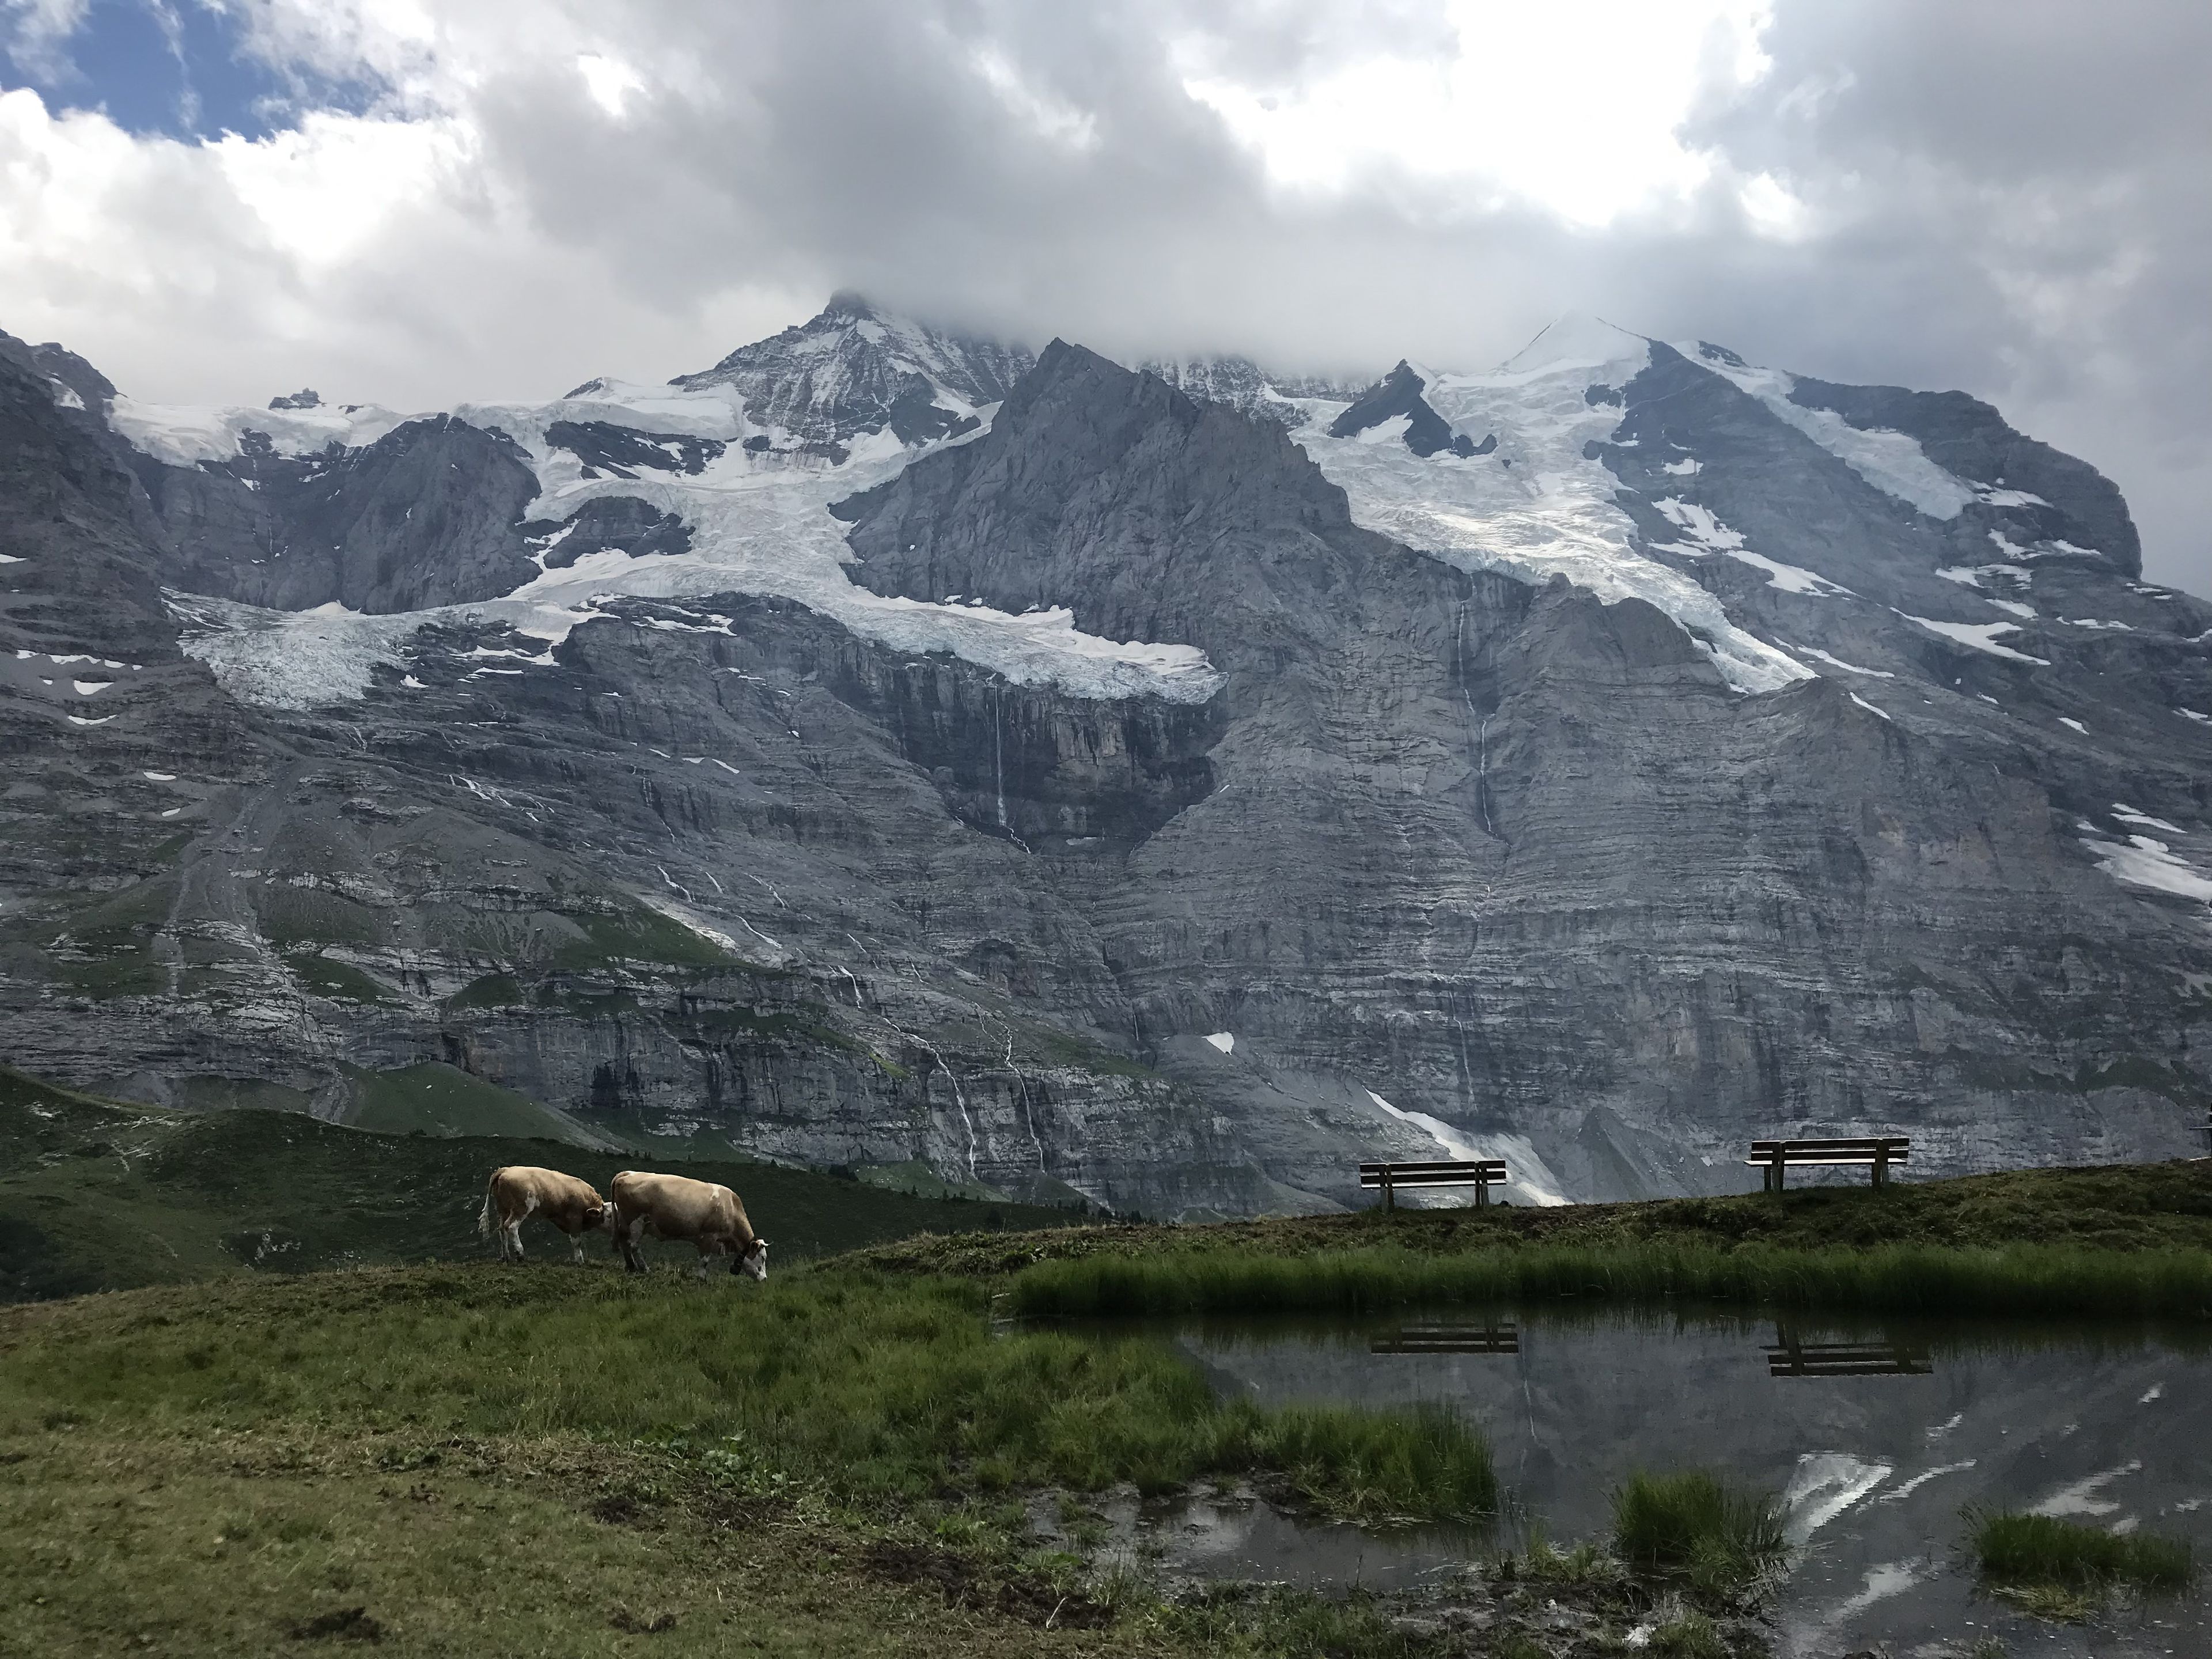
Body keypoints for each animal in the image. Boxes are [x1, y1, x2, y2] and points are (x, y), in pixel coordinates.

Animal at [478, 1159, 615, 1265]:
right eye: (609, 1216)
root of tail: (505, 1170)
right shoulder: (574, 1218)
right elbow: (577, 1242)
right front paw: (580, 1261)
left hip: (503, 1209)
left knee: (502, 1229)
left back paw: (505, 1257)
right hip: (521, 1207)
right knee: (511, 1226)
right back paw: (520, 1254)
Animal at [610, 1168, 774, 1283]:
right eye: (762, 1257)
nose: (765, 1279)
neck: (731, 1208)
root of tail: (627, 1174)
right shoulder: (709, 1236)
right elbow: (705, 1260)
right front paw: (701, 1278)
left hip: (626, 1222)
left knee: (625, 1243)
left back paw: (631, 1267)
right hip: (636, 1221)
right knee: (633, 1245)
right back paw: (644, 1269)